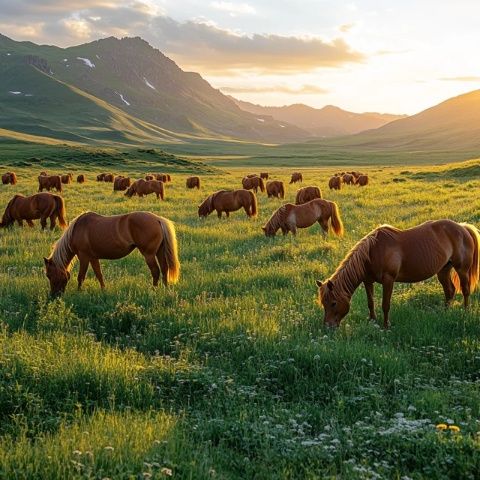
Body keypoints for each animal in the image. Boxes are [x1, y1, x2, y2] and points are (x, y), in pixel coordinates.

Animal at [43, 211, 180, 296]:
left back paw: (153, 290)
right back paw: (165, 289)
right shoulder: (93, 258)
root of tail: (157, 219)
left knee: (155, 271)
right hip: (159, 252)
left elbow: (81, 276)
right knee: (164, 269)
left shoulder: (84, 257)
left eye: (49, 275)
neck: (76, 230)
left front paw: (78, 292)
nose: (54, 296)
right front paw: (103, 290)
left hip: (149, 254)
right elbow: (99, 275)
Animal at [316, 218, 480, 328]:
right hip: (443, 270)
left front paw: (386, 326)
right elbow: (370, 302)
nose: (328, 327)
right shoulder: (368, 281)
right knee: (449, 291)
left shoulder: (388, 280)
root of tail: (462, 227)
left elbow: (385, 304)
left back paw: (465, 312)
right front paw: (372, 321)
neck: (372, 252)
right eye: (323, 303)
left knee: (465, 290)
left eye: (333, 303)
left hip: (462, 269)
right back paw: (445, 312)